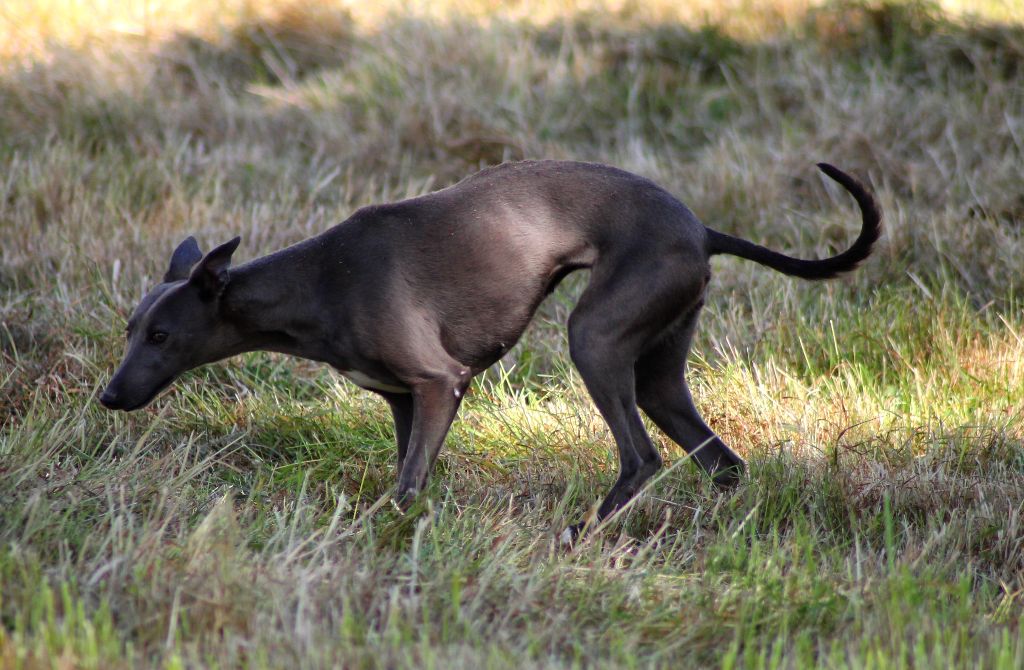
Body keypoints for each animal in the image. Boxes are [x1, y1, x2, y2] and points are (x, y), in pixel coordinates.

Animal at [97, 159, 880, 536]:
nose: (108, 396)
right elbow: (410, 477)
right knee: (723, 463)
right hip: (660, 370)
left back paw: (581, 534)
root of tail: (701, 228)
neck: (318, 280)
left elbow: (407, 486)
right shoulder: (402, 399)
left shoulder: (440, 382)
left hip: (594, 340)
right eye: (131, 330)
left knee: (641, 457)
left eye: (162, 335)